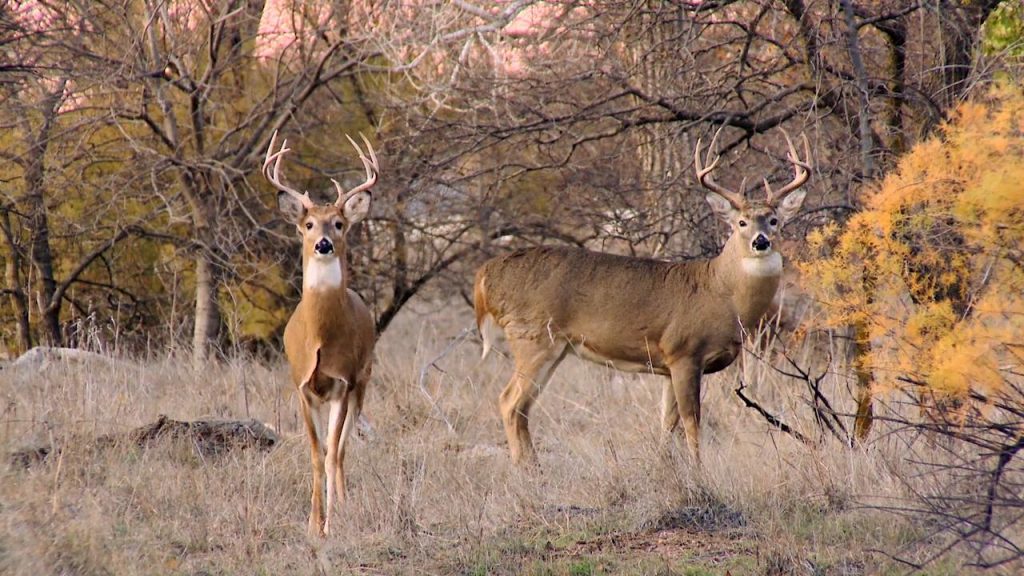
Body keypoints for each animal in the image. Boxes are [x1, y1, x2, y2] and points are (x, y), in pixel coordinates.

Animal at [263, 131, 378, 536]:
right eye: (309, 223)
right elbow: (315, 454)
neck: (321, 336)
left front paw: (332, 523)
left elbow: (331, 453)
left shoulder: (343, 381)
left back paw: (343, 502)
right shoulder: (301, 385)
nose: (324, 244)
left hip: (363, 381)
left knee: (342, 449)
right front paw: (314, 523)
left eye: (339, 223)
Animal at [473, 130, 811, 466]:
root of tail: (485, 275)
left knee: (522, 407)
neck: (722, 292)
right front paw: (698, 468)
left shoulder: (667, 365)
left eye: (774, 220)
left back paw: (534, 466)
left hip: (553, 347)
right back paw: (525, 469)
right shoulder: (684, 351)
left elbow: (667, 422)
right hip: (532, 337)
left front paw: (665, 464)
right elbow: (691, 420)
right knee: (509, 401)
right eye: (741, 222)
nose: (761, 241)